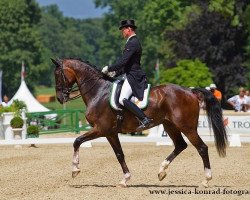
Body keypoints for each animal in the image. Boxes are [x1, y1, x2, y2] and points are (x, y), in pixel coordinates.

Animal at [51, 57, 228, 188]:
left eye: (58, 74)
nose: (60, 98)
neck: (98, 92)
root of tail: (190, 91)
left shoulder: (101, 129)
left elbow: (77, 141)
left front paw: (75, 169)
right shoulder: (110, 133)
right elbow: (119, 154)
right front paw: (125, 179)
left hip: (187, 126)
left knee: (202, 148)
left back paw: (205, 180)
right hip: (170, 125)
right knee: (180, 145)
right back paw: (161, 171)